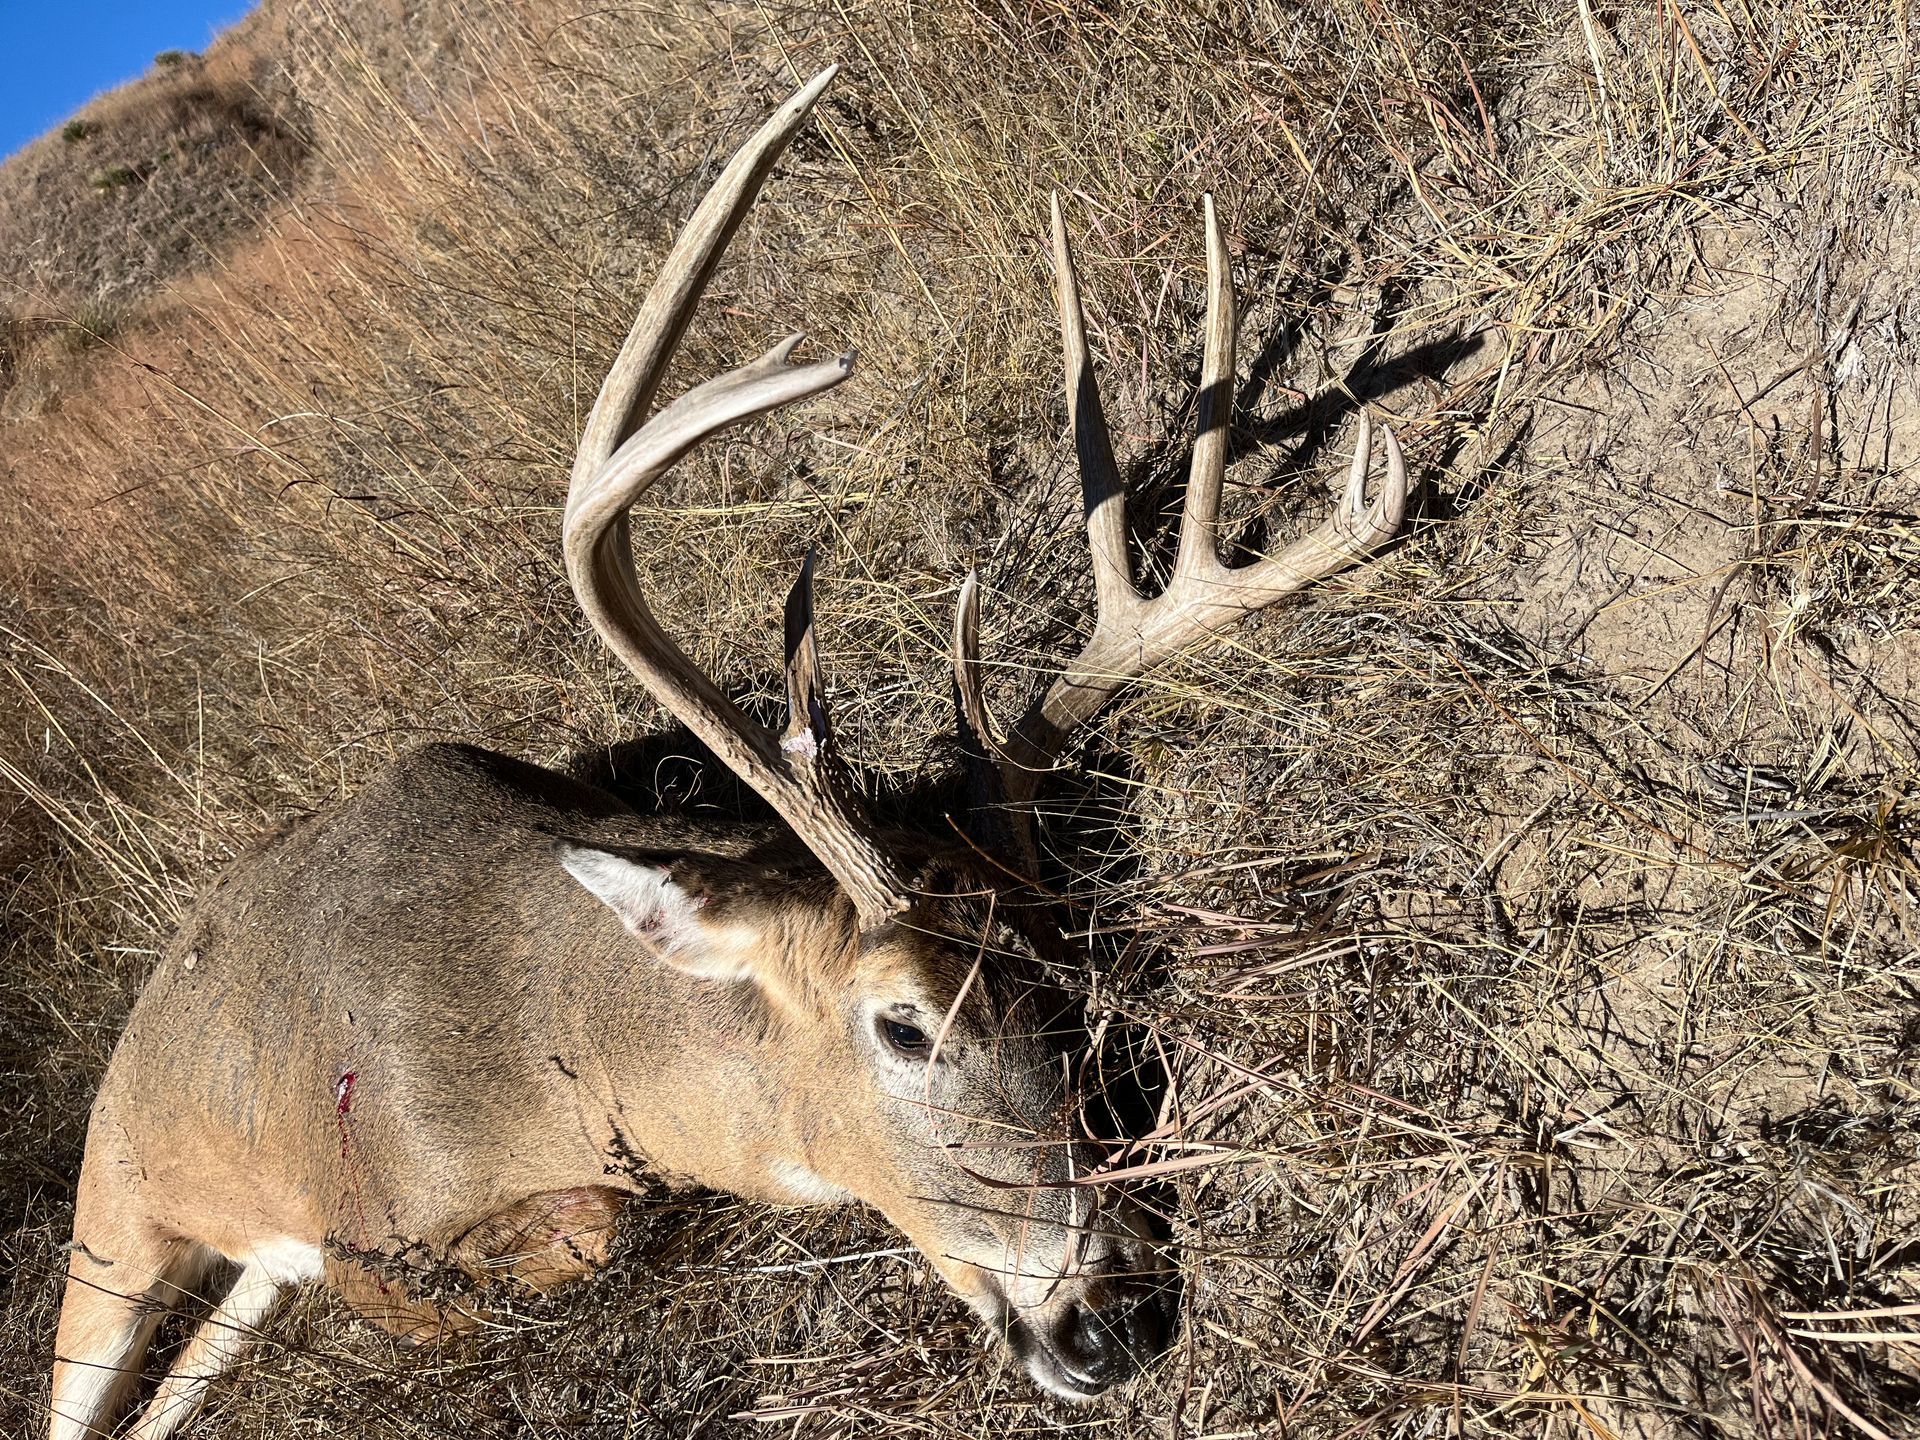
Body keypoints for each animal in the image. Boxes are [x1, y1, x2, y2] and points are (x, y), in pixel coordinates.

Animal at [47, 66, 1406, 1440]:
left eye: (1067, 984)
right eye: (903, 1025)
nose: (1115, 1314)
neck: (560, 1045)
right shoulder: (369, 1233)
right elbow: (566, 1239)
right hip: (108, 1225)